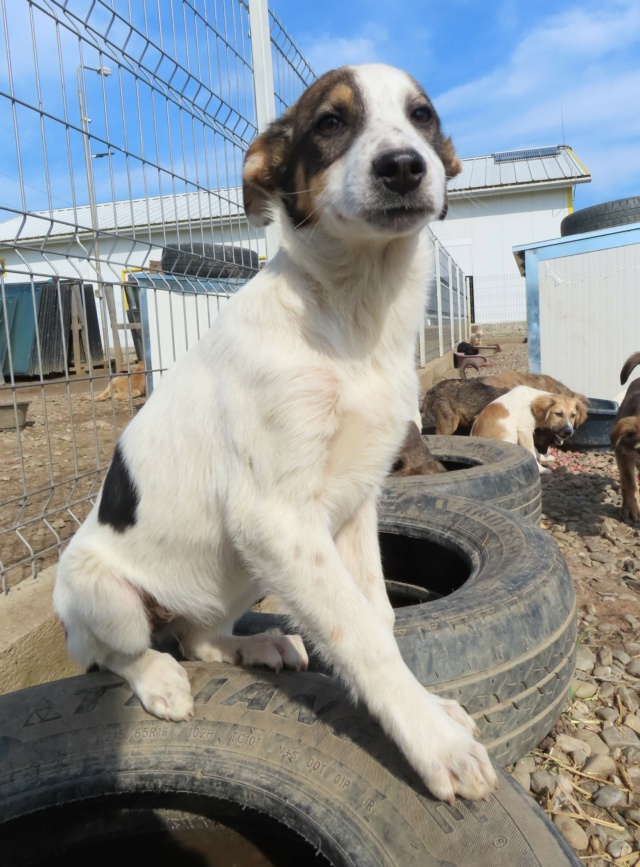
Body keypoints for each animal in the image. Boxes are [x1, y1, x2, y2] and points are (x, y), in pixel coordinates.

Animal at [53, 64, 496, 804]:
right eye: (330, 123)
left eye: (422, 116)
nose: (405, 166)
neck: (352, 314)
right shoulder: (275, 518)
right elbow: (362, 635)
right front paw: (433, 742)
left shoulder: (353, 505)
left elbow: (379, 617)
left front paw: (428, 710)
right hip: (103, 593)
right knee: (116, 652)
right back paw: (159, 678)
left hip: (234, 575)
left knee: (199, 637)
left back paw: (252, 646)